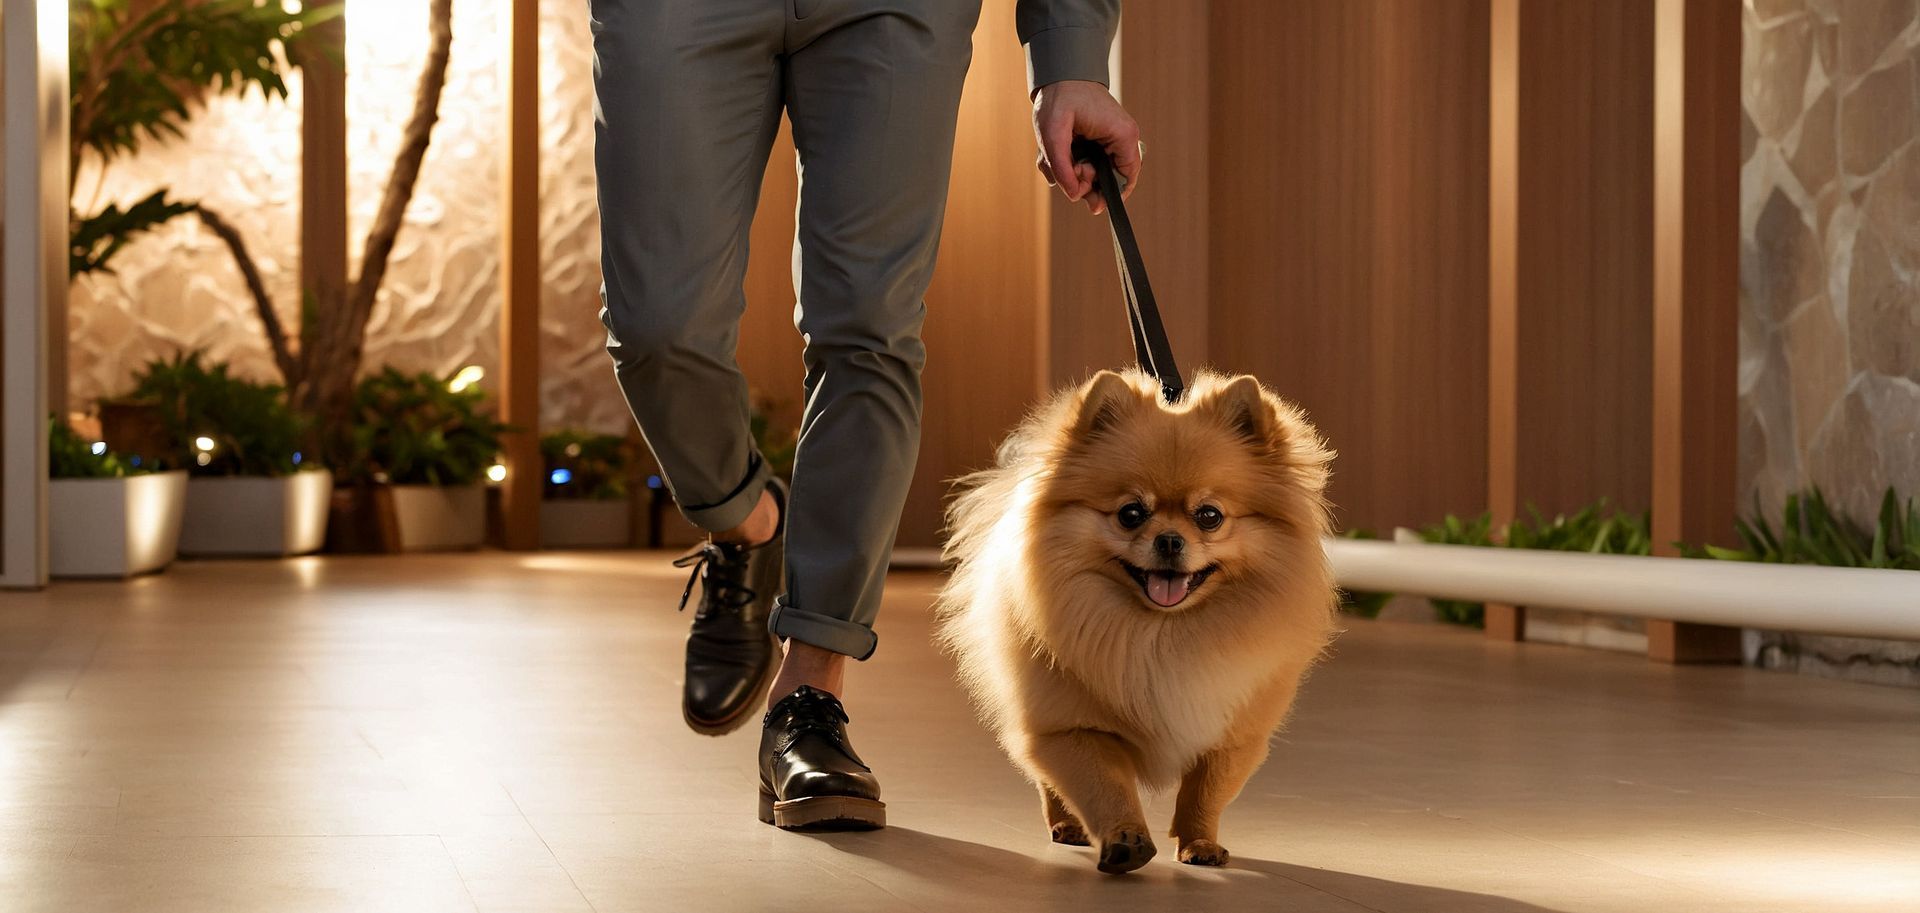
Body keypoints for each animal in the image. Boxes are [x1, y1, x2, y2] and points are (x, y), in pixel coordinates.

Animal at [933, 368, 1336, 874]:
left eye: (1209, 516)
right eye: (1131, 514)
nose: (1169, 540)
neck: (1161, 635)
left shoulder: (1232, 730)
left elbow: (1206, 791)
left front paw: (1200, 842)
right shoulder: (1072, 726)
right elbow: (1104, 785)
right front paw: (1125, 837)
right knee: (1048, 779)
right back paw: (1065, 824)